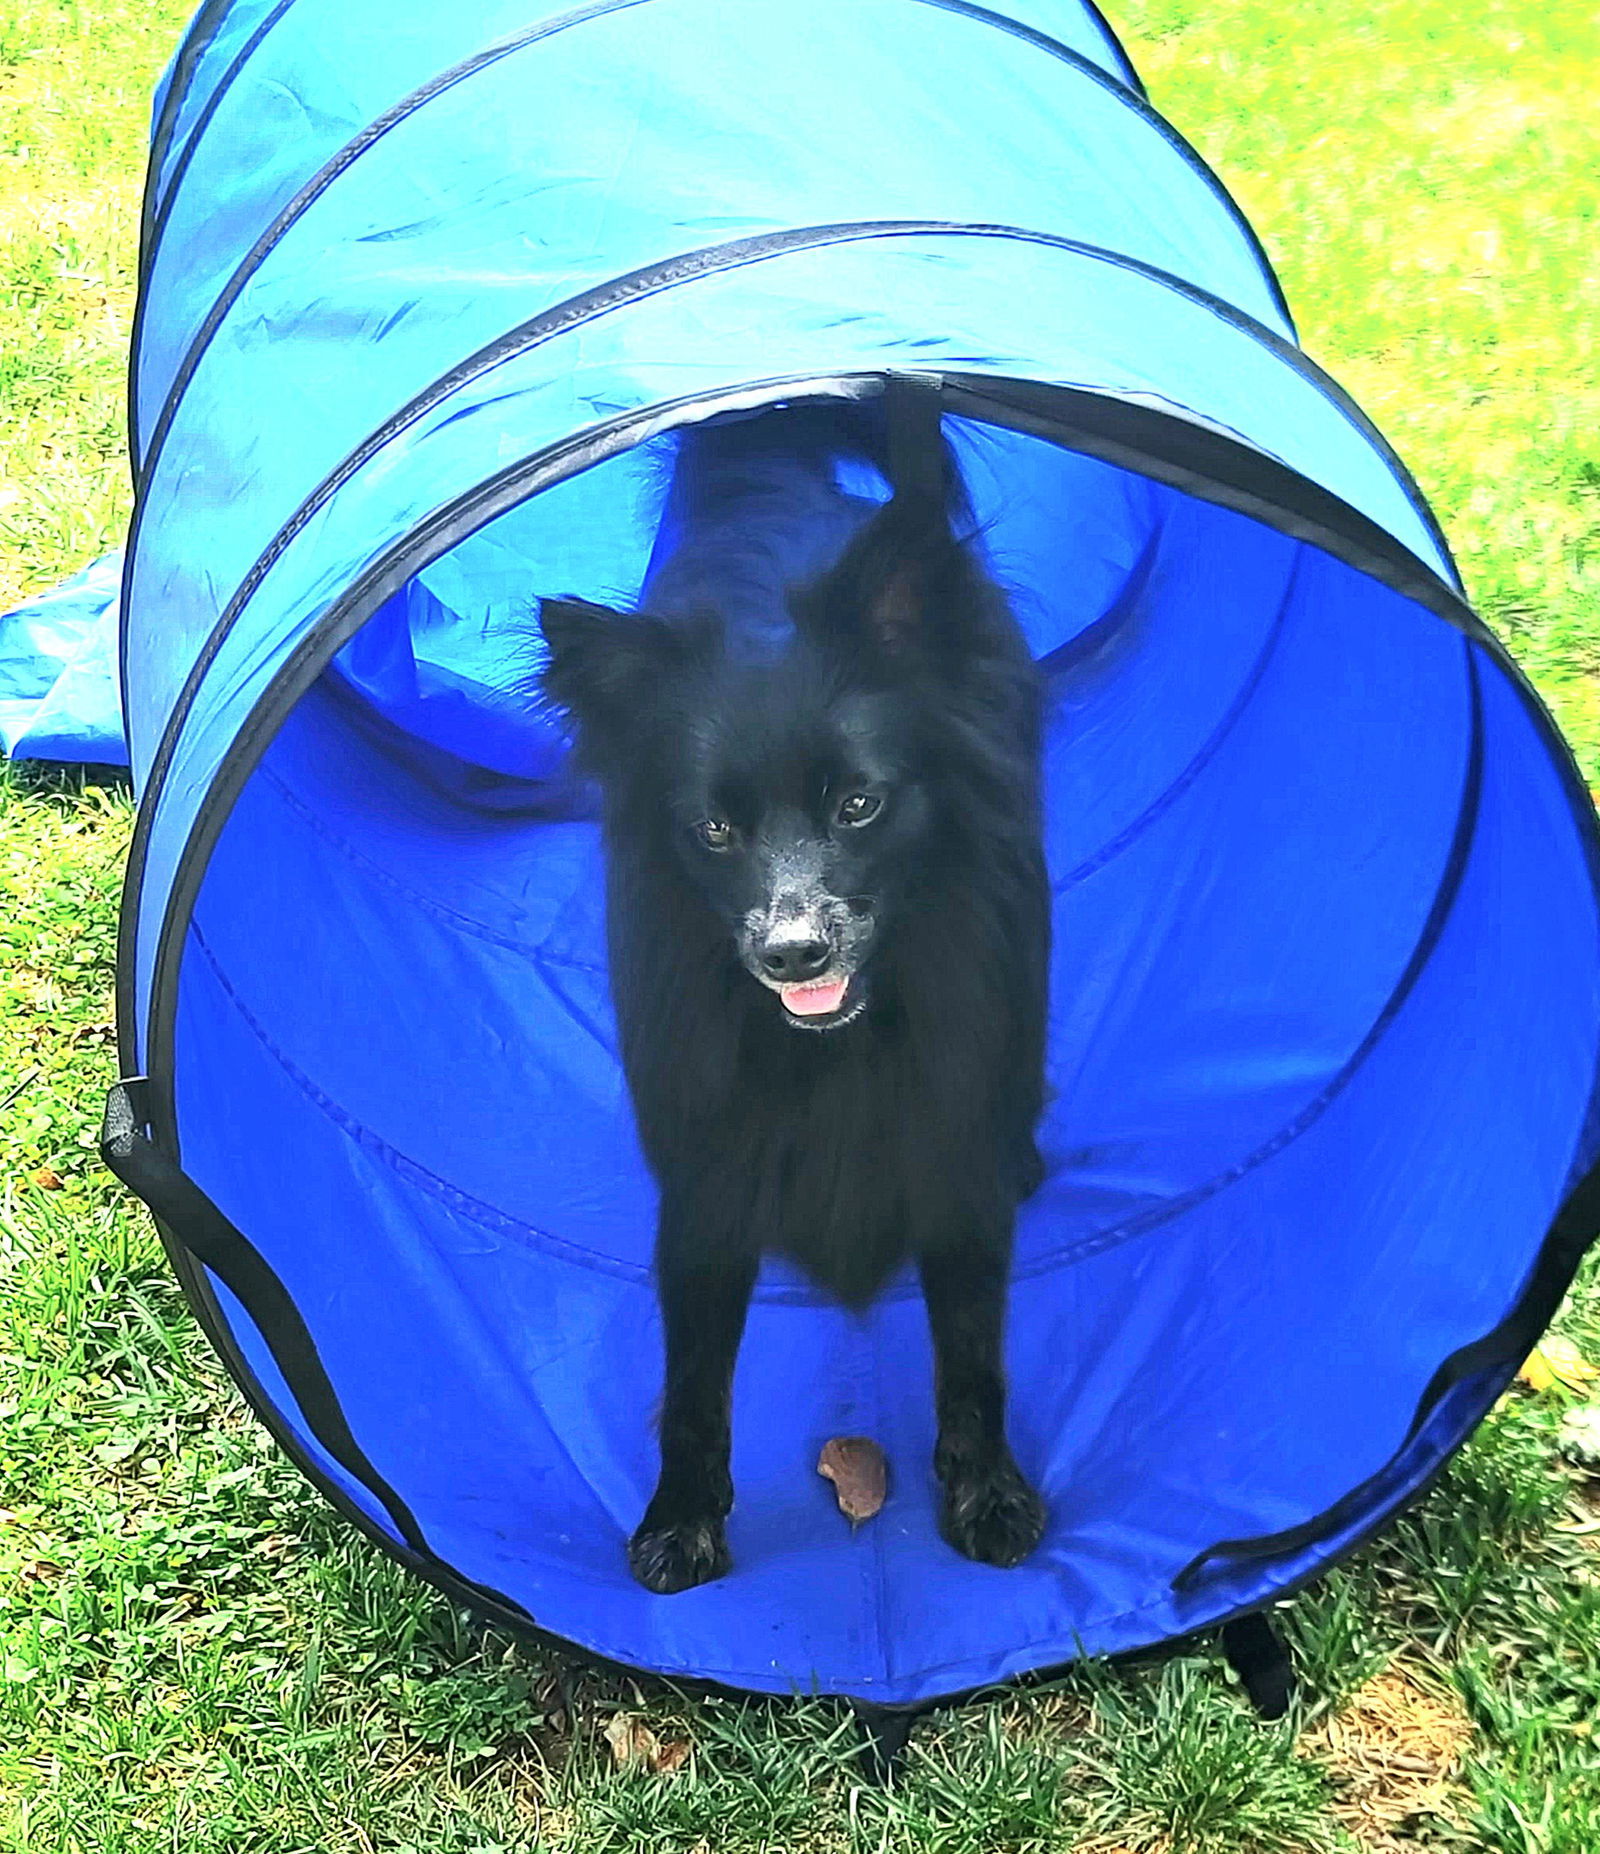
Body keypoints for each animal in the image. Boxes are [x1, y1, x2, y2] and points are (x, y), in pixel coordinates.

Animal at [541, 387, 1053, 1594]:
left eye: (858, 803)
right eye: (714, 830)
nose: (791, 953)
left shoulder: (949, 1148)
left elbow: (972, 1349)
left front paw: (988, 1493)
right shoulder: (707, 1180)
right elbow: (692, 1381)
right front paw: (681, 1521)